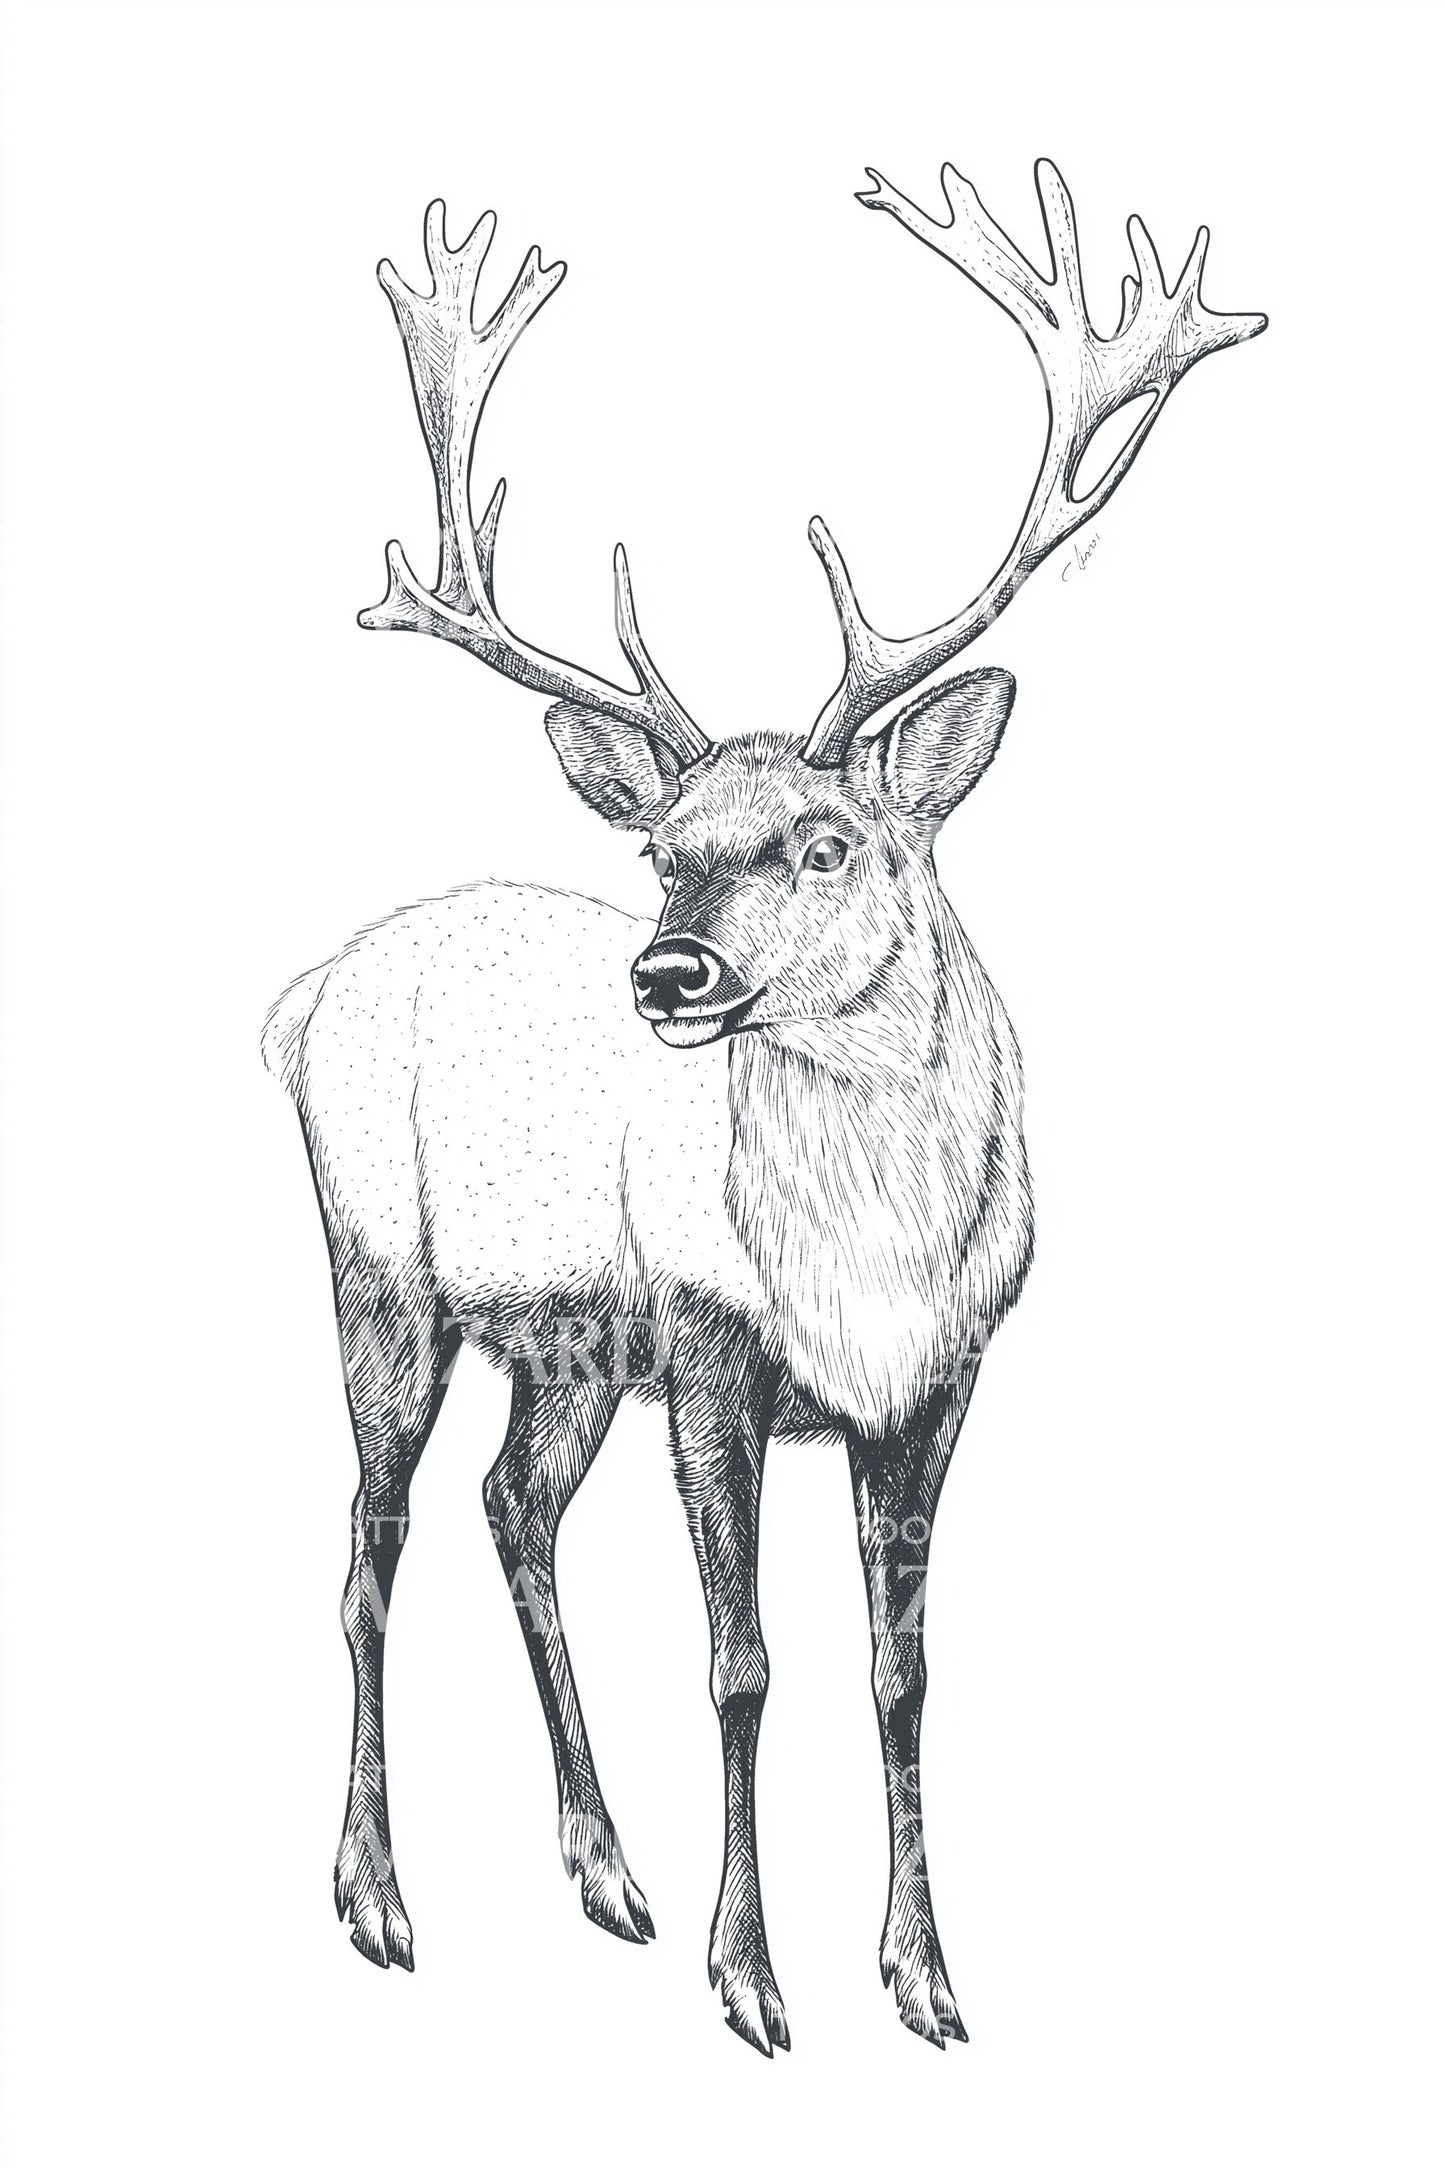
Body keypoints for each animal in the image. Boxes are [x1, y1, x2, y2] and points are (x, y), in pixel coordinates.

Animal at [262, 159, 1265, 2054]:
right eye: (665, 850)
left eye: (828, 840)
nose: (665, 975)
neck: (865, 1261)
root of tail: (302, 998)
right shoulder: (716, 1349)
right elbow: (740, 1663)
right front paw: (752, 1980)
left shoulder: (936, 1380)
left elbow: (902, 1668)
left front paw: (926, 1976)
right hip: (382, 1274)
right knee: (367, 1544)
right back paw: (374, 1899)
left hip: (574, 1345)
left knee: (513, 1508)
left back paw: (604, 1869)